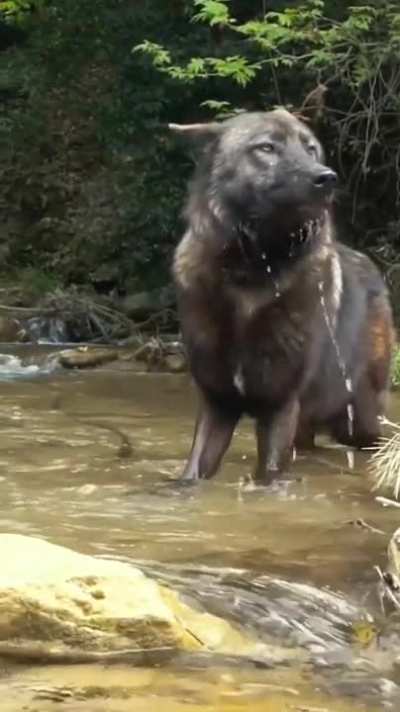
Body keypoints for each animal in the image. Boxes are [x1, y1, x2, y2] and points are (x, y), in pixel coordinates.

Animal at [169, 109, 394, 483]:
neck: (251, 277)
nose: (327, 178)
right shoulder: (217, 403)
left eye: (311, 148)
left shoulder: (280, 405)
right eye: (266, 147)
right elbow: (192, 473)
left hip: (358, 418)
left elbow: (270, 475)